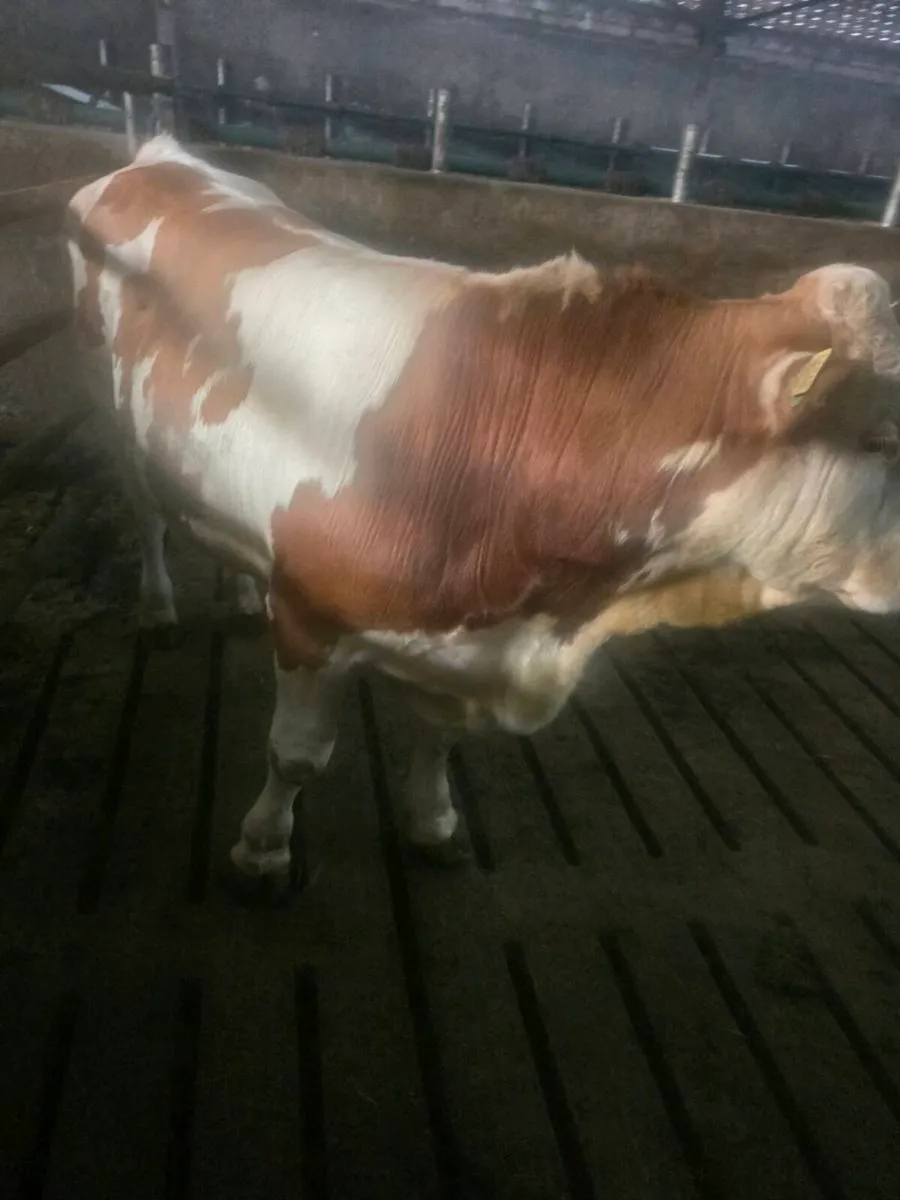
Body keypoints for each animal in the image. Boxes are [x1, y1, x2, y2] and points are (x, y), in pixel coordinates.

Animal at [66, 133, 900, 885]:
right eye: (884, 434)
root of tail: (160, 156)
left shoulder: (458, 648)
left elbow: (437, 741)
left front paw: (434, 826)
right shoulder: (311, 620)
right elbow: (297, 756)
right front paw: (263, 849)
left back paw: (242, 587)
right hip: (113, 414)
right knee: (146, 517)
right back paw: (158, 609)